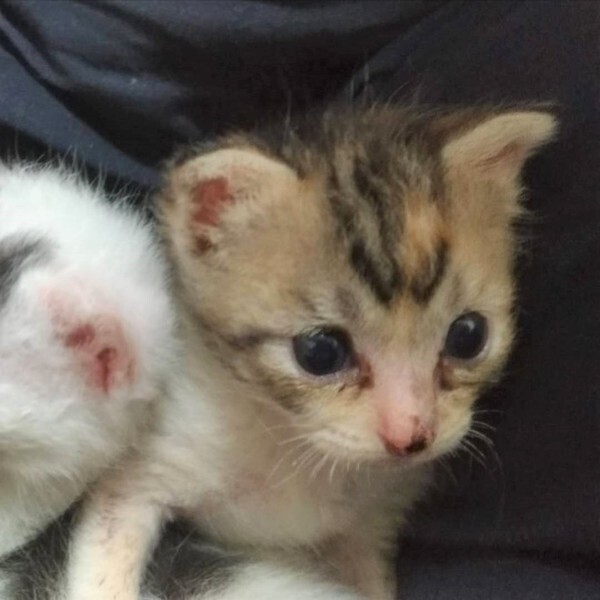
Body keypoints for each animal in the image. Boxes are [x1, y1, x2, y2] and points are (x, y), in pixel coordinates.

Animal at [63, 104, 557, 600]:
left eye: (468, 337)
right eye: (320, 352)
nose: (411, 437)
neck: (295, 441)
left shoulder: (370, 521)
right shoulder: (144, 469)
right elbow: (104, 557)